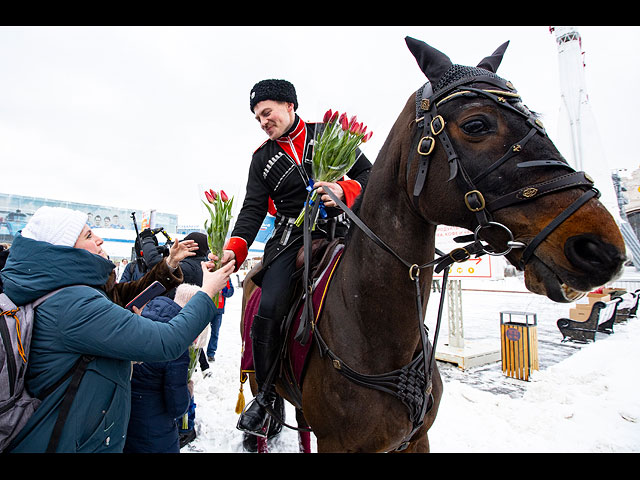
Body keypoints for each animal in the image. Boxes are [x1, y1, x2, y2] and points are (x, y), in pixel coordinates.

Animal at [238, 38, 624, 454]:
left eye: (536, 118)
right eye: (476, 124)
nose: (600, 248)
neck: (380, 337)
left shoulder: (416, 439)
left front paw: (332, 189)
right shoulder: (338, 445)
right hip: (258, 373)